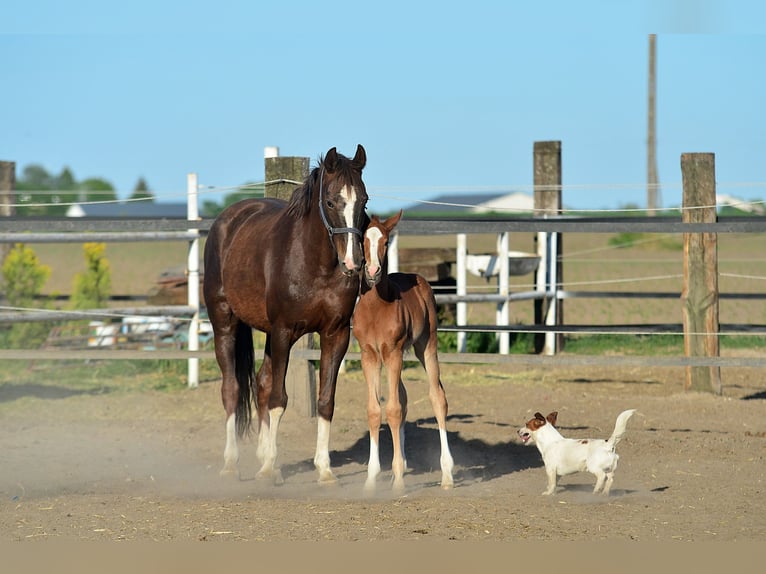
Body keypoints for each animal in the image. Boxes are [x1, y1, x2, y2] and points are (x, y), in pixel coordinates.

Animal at [202, 145, 370, 486]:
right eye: (331, 201)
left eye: (364, 201)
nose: (353, 262)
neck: (314, 262)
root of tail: (228, 219)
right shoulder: (283, 331)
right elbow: (279, 399)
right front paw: (268, 470)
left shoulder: (336, 335)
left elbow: (325, 400)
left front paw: (324, 470)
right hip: (225, 323)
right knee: (232, 389)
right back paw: (232, 464)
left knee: (262, 383)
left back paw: (266, 457)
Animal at [354, 212, 456, 496]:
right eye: (363, 240)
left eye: (386, 241)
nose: (373, 272)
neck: (376, 308)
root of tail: (420, 278)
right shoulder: (369, 355)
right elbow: (375, 410)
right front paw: (371, 479)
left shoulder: (393, 352)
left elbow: (393, 410)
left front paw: (398, 478)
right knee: (403, 397)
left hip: (426, 346)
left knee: (437, 397)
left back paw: (447, 474)